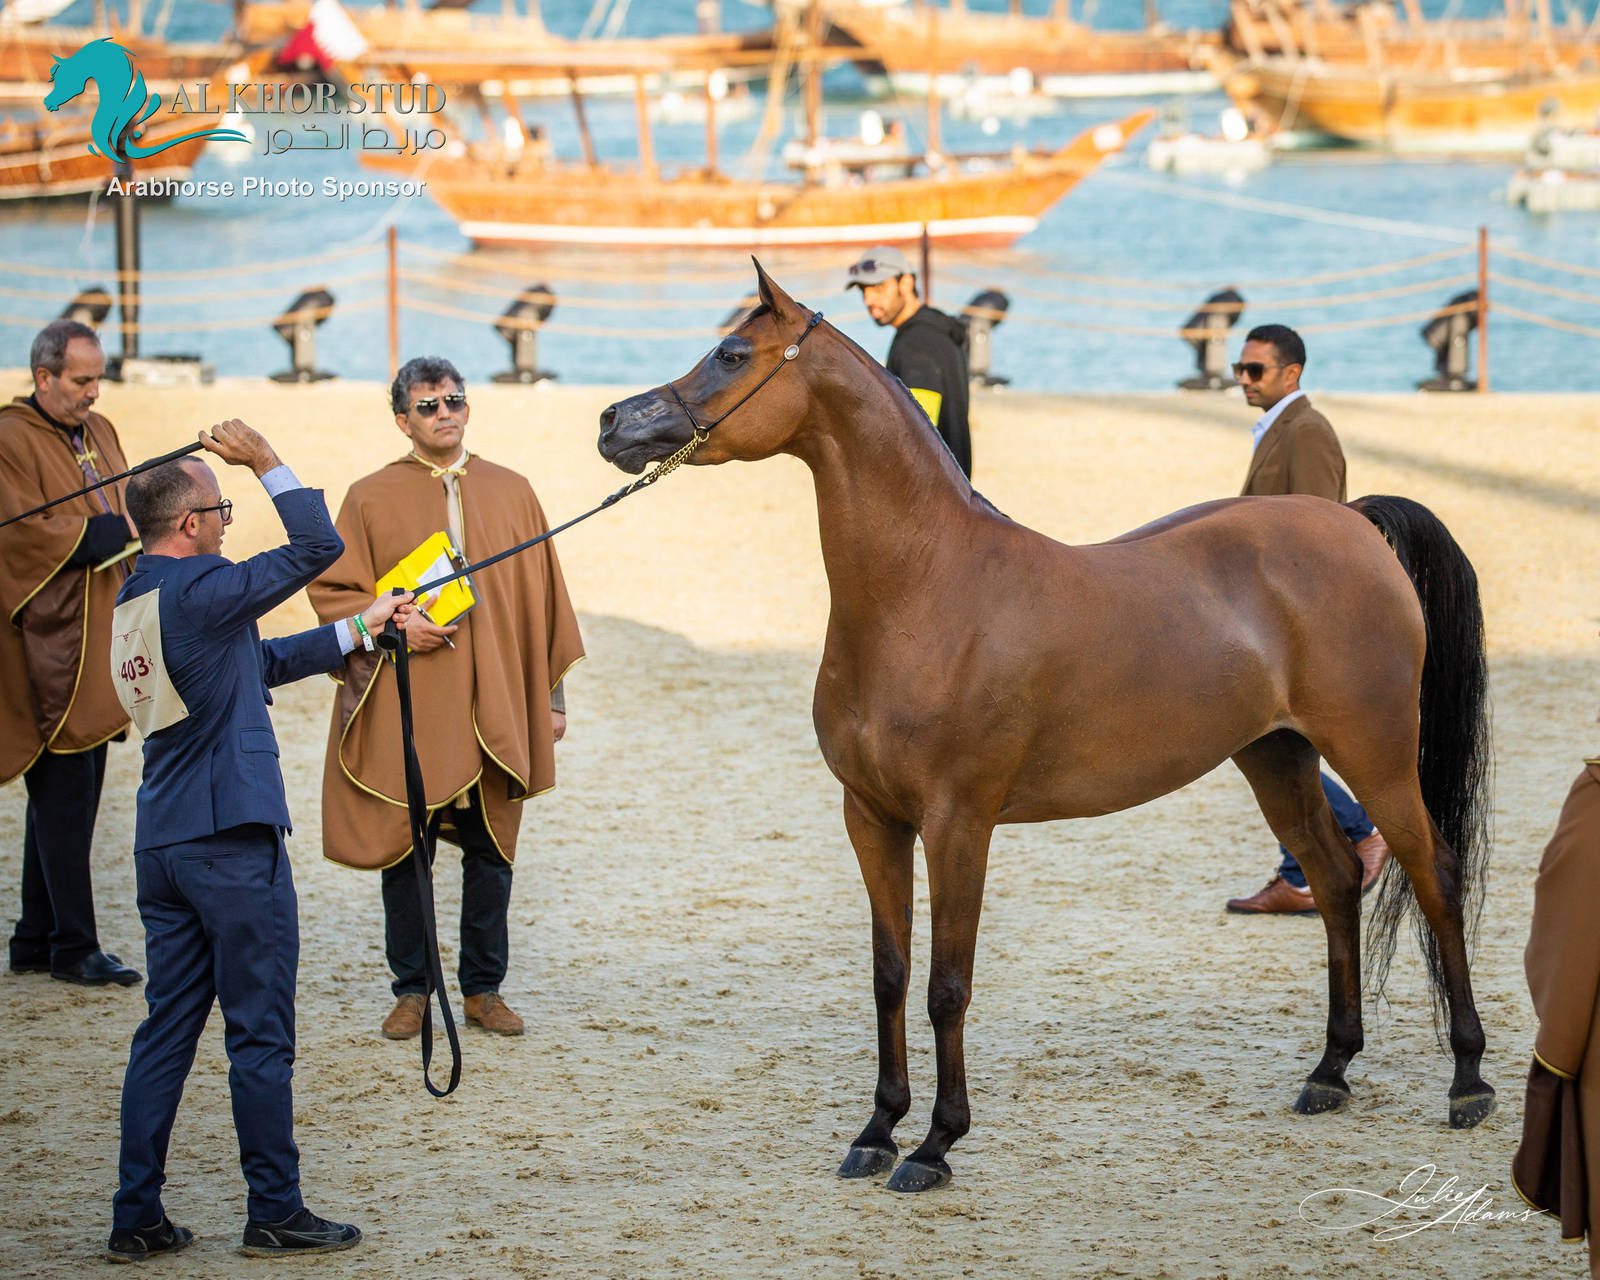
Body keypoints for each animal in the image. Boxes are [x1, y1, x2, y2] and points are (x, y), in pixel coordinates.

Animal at [597, 263, 1495, 1194]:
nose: (614, 421)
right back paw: (1330, 1072)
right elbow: (890, 975)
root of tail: (1353, 524)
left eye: (733, 353)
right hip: (1275, 757)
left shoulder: (959, 825)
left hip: (1375, 754)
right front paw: (877, 1130)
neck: (926, 591)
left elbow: (947, 985)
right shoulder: (871, 818)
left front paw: (935, 1144)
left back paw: (1468, 1081)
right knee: (1335, 878)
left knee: (1435, 875)